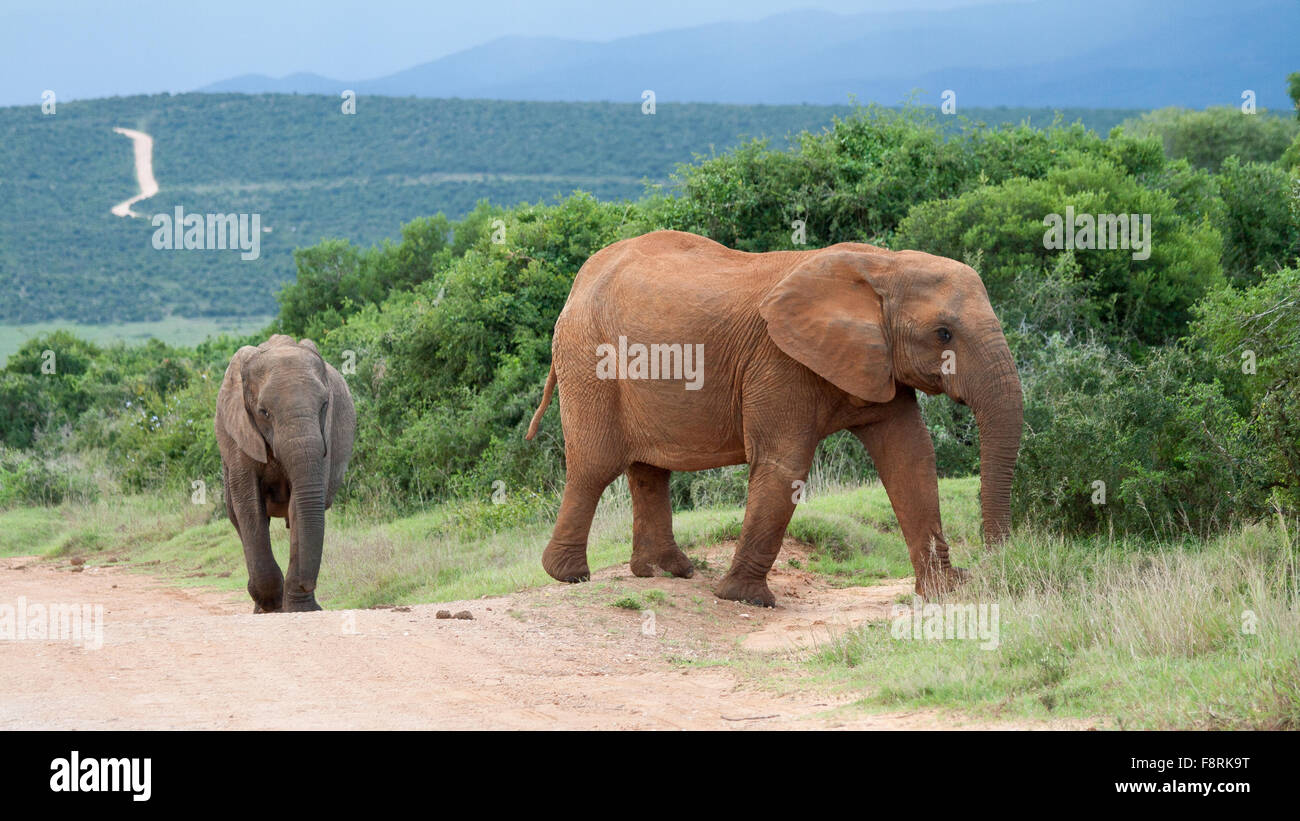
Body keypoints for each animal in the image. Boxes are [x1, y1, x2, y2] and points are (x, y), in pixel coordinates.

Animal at [215, 332, 356, 610]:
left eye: (324, 405)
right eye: (264, 412)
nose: (307, 584)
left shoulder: (326, 434)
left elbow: (301, 505)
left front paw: (302, 609)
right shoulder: (240, 433)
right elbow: (249, 504)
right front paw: (271, 606)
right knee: (236, 516)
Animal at [527, 229, 1024, 602]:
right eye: (943, 333)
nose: (993, 565)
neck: (883, 265)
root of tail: (577, 284)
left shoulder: (878, 362)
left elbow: (911, 457)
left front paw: (944, 593)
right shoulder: (779, 361)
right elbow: (786, 464)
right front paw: (745, 599)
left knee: (649, 471)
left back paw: (668, 572)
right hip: (590, 360)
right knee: (595, 465)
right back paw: (568, 575)